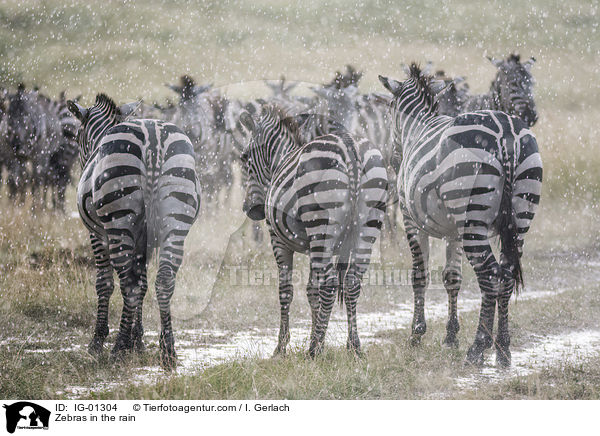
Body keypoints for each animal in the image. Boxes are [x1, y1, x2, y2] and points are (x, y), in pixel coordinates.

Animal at [67, 93, 200, 368]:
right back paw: (168, 351)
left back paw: (118, 349)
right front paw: (137, 340)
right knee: (164, 279)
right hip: (176, 218)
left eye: (76, 137)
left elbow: (105, 283)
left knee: (127, 283)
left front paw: (99, 341)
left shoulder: (97, 235)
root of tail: (153, 139)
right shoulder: (145, 240)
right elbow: (143, 282)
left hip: (119, 218)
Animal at [240, 106, 390, 358]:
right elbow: (312, 290)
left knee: (329, 284)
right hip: (366, 225)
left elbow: (286, 290)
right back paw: (354, 346)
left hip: (321, 223)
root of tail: (350, 147)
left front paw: (281, 347)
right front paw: (316, 335)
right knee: (352, 282)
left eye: (244, 158)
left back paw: (314, 350)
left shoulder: (277, 239)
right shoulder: (313, 248)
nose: (252, 209)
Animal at [380, 63, 544, 366]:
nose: (394, 159)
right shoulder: (453, 231)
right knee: (506, 274)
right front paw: (450, 336)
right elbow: (451, 278)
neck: (417, 127)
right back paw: (503, 349)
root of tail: (505, 132)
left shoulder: (411, 221)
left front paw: (417, 334)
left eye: (390, 110)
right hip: (519, 216)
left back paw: (478, 348)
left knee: (490, 275)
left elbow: (419, 274)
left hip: (473, 219)